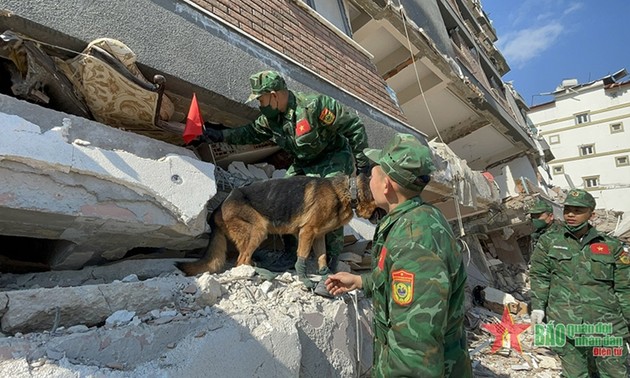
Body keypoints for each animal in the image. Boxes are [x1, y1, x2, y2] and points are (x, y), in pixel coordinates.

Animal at [175, 173, 378, 284]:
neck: (348, 191)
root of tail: (220, 205)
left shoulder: (318, 236)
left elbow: (322, 256)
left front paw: (325, 273)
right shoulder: (307, 232)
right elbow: (302, 257)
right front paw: (304, 277)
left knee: (243, 260)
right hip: (259, 229)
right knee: (241, 261)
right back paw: (260, 271)